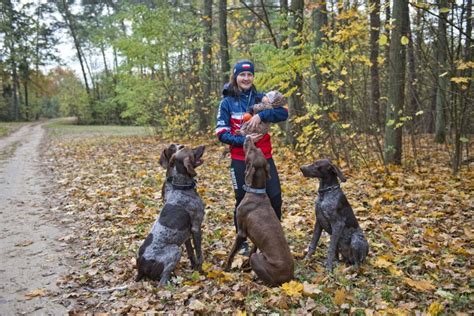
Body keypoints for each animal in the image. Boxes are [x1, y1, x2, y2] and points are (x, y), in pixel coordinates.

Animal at [135, 145, 206, 284]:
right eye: (192, 150)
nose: (203, 146)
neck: (181, 188)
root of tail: (141, 266)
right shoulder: (196, 227)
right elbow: (199, 254)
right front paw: (200, 271)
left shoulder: (187, 234)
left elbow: (191, 253)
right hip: (175, 250)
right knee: (162, 282)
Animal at [225, 136, 294, 286]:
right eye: (257, 149)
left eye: (252, 150)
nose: (248, 137)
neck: (256, 192)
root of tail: (288, 279)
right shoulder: (254, 237)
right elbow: (252, 249)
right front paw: (245, 266)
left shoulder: (241, 233)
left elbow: (231, 253)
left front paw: (225, 269)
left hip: (258, 259)